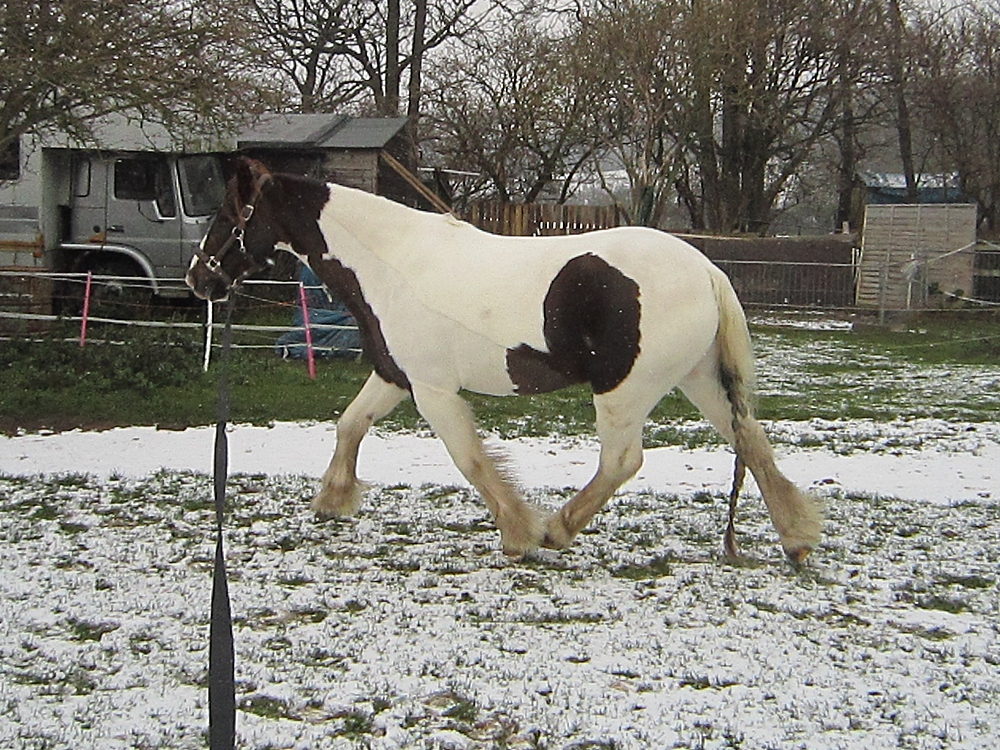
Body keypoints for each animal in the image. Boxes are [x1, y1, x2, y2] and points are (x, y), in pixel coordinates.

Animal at [187, 157, 822, 562]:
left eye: (230, 215)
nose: (198, 278)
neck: (394, 264)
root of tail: (707, 270)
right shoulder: (395, 376)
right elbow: (350, 425)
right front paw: (332, 500)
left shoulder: (434, 392)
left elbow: (470, 460)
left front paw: (518, 532)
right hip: (699, 381)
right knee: (752, 441)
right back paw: (796, 538)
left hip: (624, 392)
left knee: (622, 461)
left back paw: (558, 530)